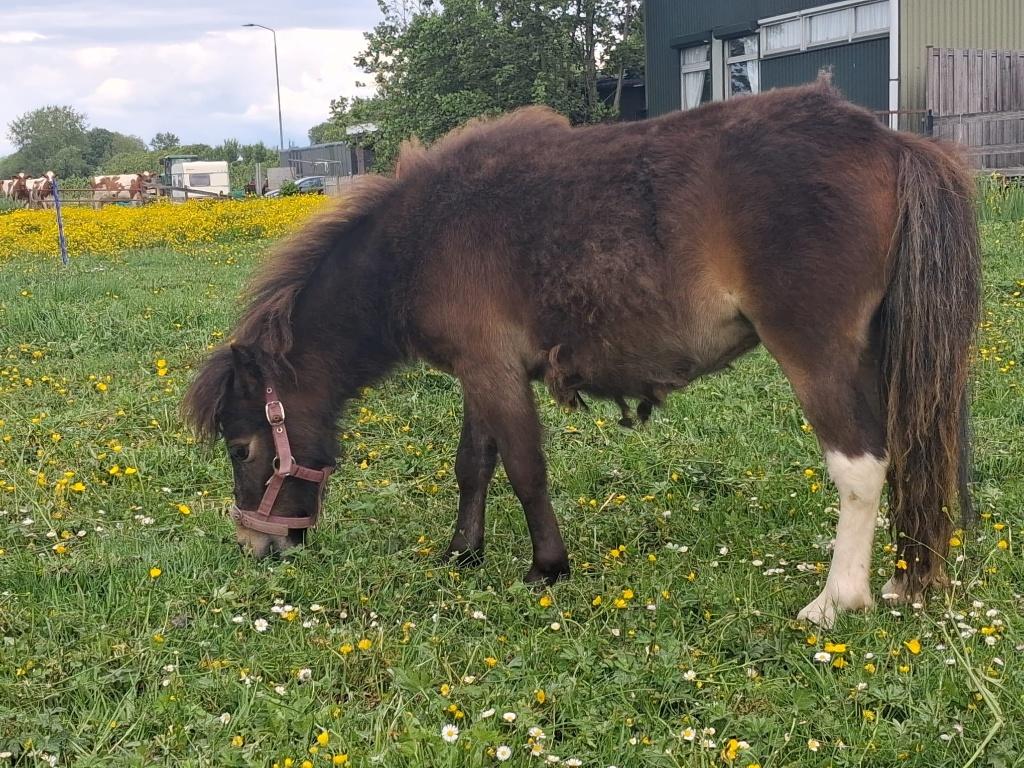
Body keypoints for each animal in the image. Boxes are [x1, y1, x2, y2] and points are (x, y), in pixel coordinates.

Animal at [182, 79, 980, 628]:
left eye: (242, 448)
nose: (258, 546)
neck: (418, 241)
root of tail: (892, 144)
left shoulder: (494, 372)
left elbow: (525, 471)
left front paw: (547, 567)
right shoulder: (481, 373)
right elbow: (474, 465)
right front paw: (463, 552)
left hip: (815, 353)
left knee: (862, 466)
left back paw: (837, 599)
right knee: (909, 448)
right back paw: (905, 579)